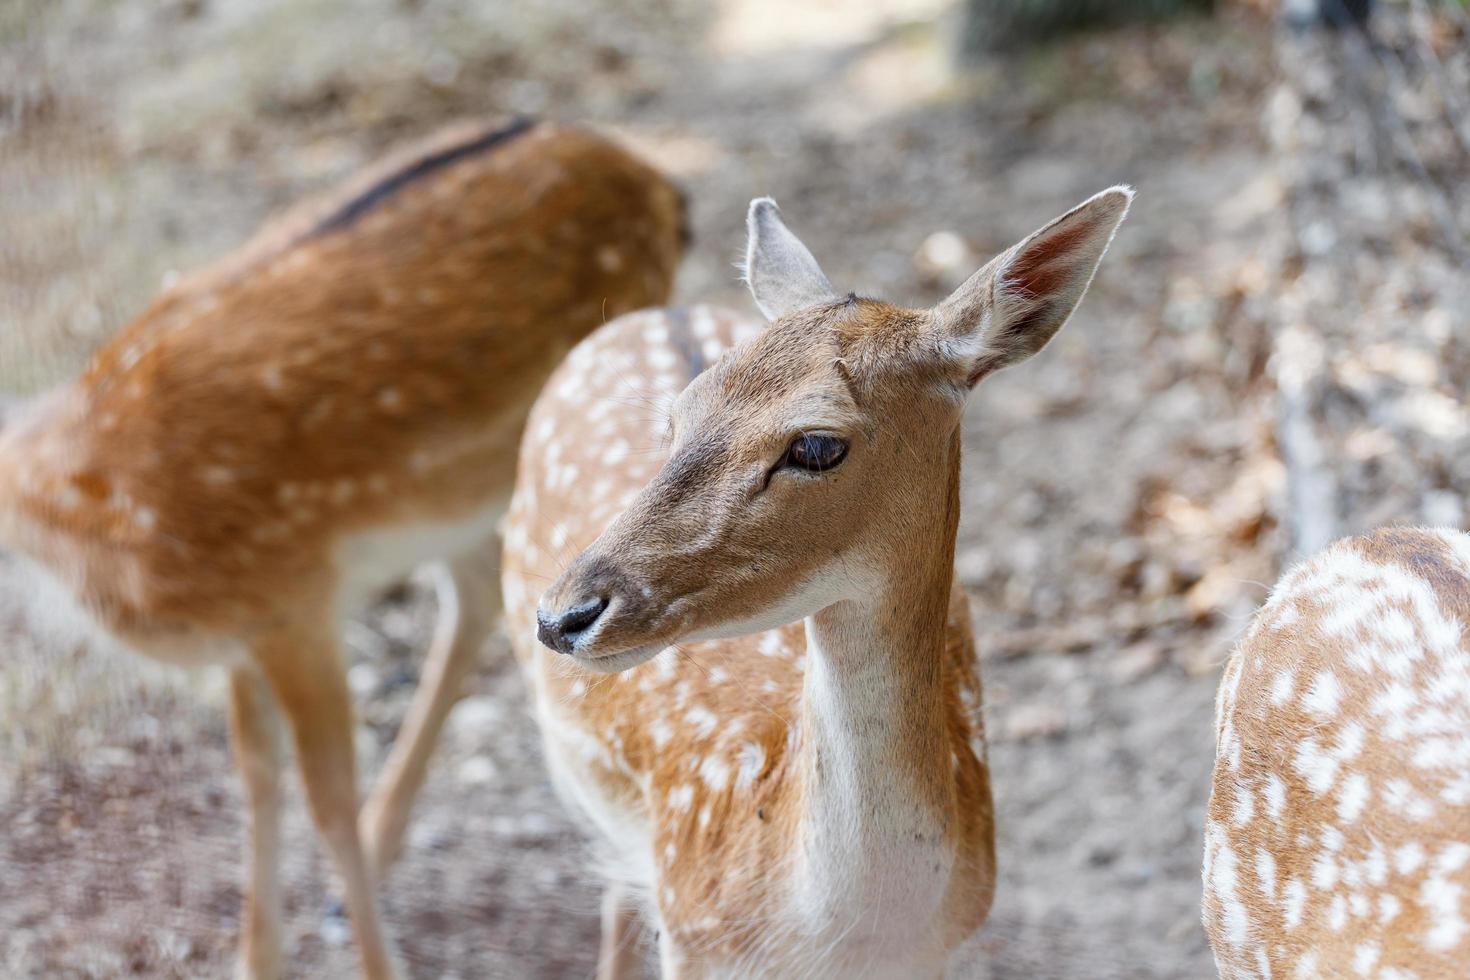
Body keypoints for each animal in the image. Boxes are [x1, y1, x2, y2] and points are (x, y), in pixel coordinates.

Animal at [0, 116, 687, 980]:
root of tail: (659, 183)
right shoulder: (243, 628)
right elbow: (255, 773)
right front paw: (255, 960)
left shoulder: (293, 599)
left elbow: (323, 797)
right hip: (461, 496)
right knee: (476, 596)